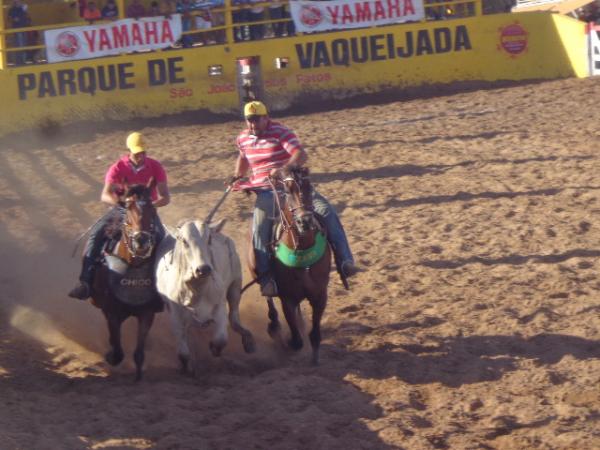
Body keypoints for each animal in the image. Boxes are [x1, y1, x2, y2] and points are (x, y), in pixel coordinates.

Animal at [89, 179, 164, 380]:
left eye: (152, 209)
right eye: (128, 208)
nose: (141, 241)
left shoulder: (147, 313)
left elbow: (138, 352)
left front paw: (138, 376)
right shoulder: (112, 313)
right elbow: (117, 350)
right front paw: (110, 356)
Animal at [155, 219, 255, 372]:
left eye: (209, 239)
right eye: (184, 241)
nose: (204, 269)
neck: (197, 290)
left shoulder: (220, 306)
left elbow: (221, 339)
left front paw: (214, 348)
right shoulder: (175, 315)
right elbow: (183, 353)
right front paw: (187, 369)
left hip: (235, 284)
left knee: (234, 317)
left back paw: (248, 340)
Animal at [248, 167, 332, 364]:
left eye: (309, 186)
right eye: (287, 191)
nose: (305, 221)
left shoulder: (320, 294)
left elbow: (314, 334)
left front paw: (315, 358)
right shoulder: (287, 298)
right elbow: (296, 340)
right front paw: (286, 341)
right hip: (258, 275)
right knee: (269, 299)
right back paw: (274, 326)